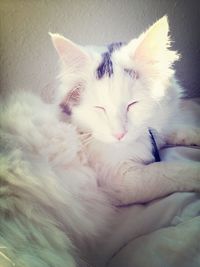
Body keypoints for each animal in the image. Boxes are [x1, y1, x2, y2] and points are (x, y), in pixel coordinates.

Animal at [50, 15, 200, 207]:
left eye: (132, 104)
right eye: (99, 108)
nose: (119, 135)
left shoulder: (156, 128)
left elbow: (176, 130)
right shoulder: (123, 180)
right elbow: (168, 169)